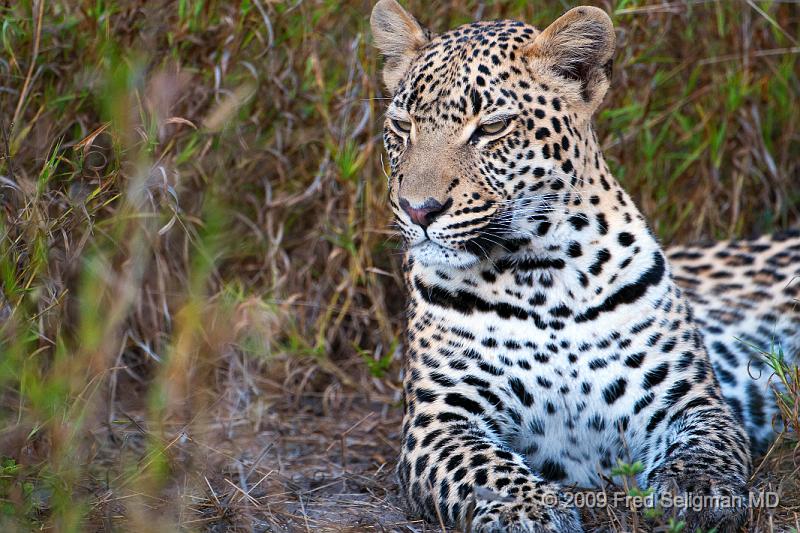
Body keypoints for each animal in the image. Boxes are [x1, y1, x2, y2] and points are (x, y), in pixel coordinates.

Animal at [372, 2, 800, 528]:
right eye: (402, 127)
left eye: (491, 128)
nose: (418, 210)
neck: (540, 273)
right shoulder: (440, 421)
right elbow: (485, 466)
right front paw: (528, 508)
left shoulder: (690, 399)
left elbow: (706, 447)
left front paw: (697, 492)